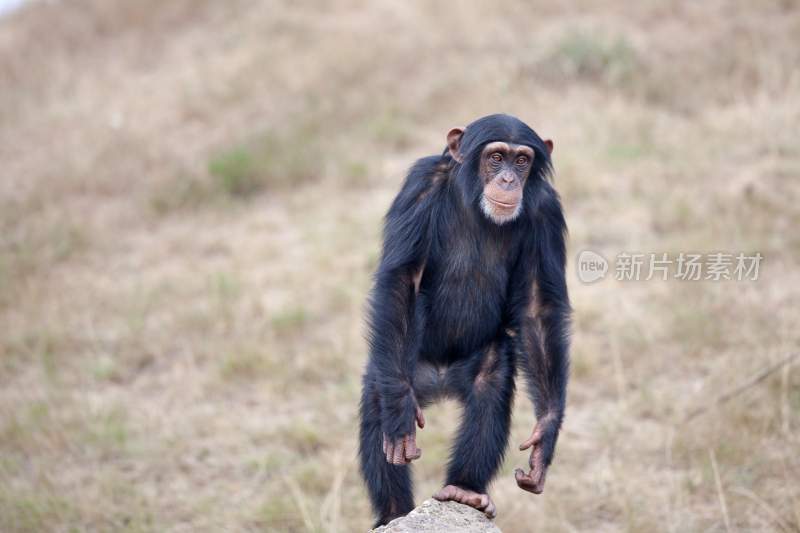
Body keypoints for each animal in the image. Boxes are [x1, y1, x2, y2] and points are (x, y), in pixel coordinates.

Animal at [360, 112, 572, 524]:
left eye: (522, 161)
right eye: (496, 157)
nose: (507, 180)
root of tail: (440, 383)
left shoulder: (547, 211)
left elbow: (538, 306)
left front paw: (545, 437)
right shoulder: (419, 187)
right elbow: (403, 279)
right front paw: (397, 412)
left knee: (492, 383)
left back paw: (465, 490)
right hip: (406, 368)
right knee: (380, 393)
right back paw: (394, 511)